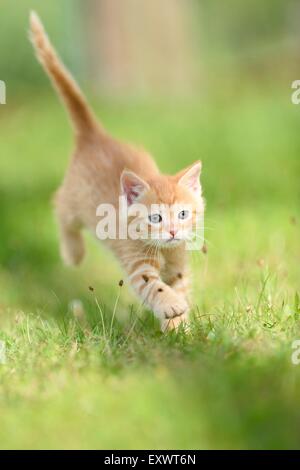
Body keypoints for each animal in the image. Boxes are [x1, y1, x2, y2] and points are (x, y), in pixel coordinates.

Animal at [29, 12, 204, 332]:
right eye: (155, 218)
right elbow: (155, 286)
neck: (164, 250)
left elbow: (179, 286)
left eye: (184, 214)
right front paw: (171, 308)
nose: (173, 231)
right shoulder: (138, 265)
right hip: (74, 202)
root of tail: (95, 136)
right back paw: (73, 253)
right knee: (59, 208)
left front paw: (180, 329)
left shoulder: (179, 265)